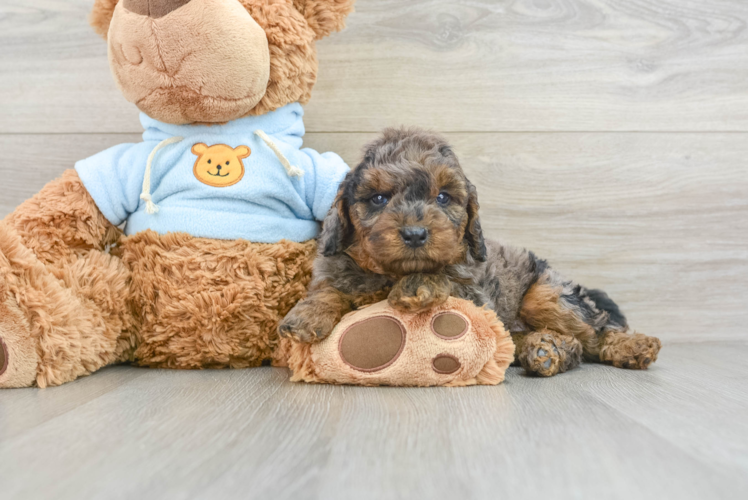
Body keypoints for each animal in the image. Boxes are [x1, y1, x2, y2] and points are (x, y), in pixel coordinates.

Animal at [280, 127, 660, 376]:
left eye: (443, 197)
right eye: (378, 198)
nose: (415, 234)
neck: (390, 273)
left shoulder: (475, 293)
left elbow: (446, 278)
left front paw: (420, 284)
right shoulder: (334, 267)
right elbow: (328, 289)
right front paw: (306, 315)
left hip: (548, 295)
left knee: (595, 334)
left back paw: (630, 347)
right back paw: (545, 350)